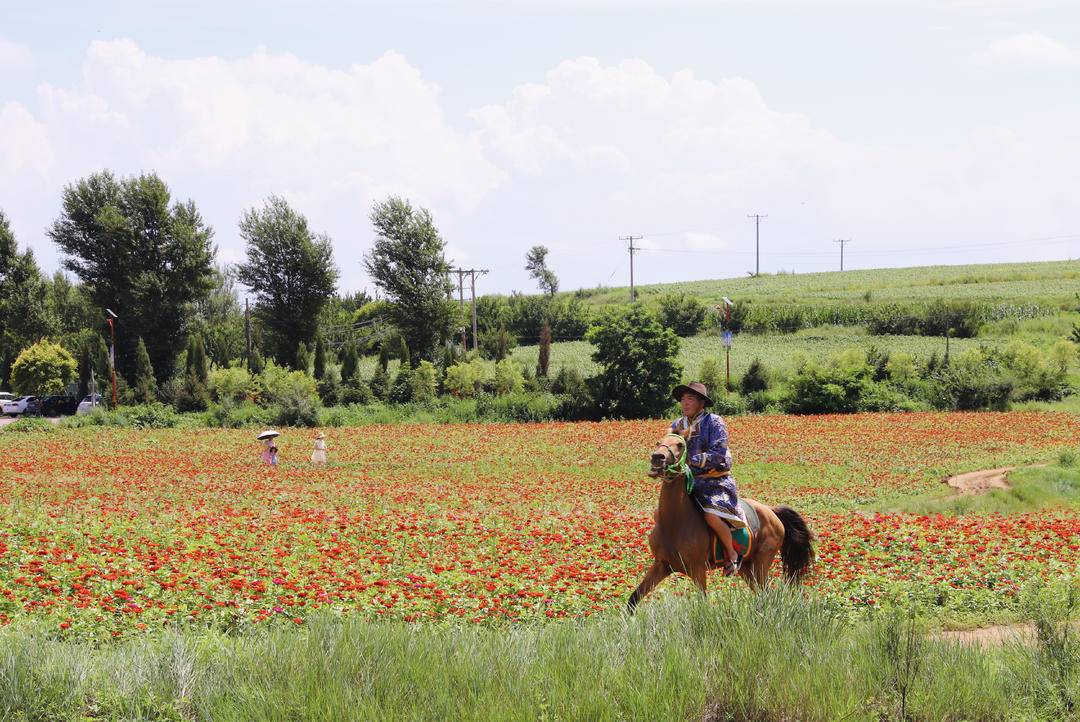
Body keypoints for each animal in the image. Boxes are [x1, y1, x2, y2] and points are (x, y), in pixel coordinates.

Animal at [630, 431, 812, 612]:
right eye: (658, 442)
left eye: (680, 445)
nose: (657, 457)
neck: (673, 524)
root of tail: (771, 511)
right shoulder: (661, 565)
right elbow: (634, 598)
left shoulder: (697, 569)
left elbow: (702, 603)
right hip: (747, 568)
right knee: (762, 594)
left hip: (761, 563)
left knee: (766, 593)